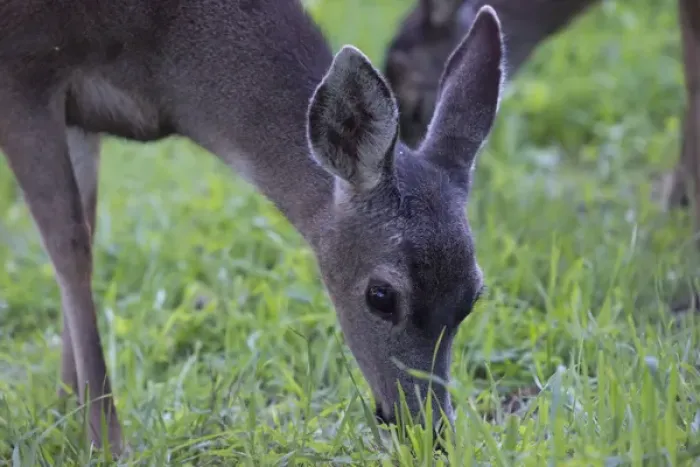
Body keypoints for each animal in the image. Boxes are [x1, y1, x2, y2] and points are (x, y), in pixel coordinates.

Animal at [0, 0, 507, 456]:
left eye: (472, 298)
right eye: (380, 296)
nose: (430, 432)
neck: (162, 52)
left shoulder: (79, 117)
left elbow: (83, 232)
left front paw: (66, 410)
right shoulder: (24, 70)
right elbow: (71, 249)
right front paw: (106, 442)